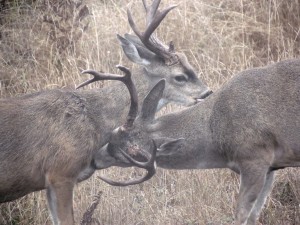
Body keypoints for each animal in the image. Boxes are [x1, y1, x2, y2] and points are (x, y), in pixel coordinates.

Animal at [96, 59, 300, 225]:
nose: (95, 159)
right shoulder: (271, 167)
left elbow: (241, 215)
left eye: (129, 153)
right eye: (112, 134)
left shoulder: (255, 157)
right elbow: (253, 216)